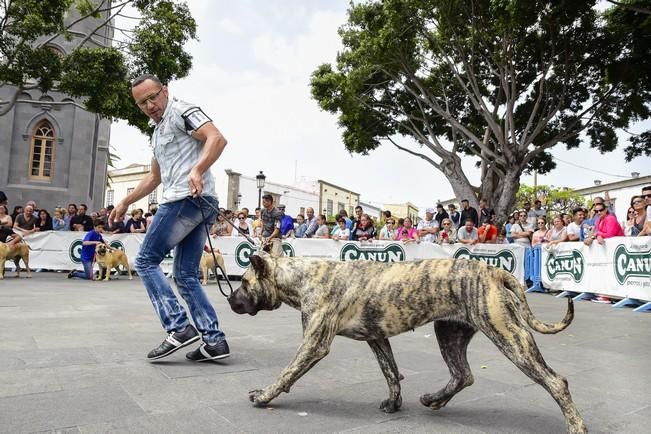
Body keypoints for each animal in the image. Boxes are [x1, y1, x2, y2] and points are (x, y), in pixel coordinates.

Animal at [230, 253, 592, 434]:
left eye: (244, 283)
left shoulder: (313, 344)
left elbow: (286, 373)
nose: (231, 300)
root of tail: (494, 272)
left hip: (509, 337)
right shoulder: (377, 338)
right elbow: (391, 373)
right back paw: (434, 399)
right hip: (450, 333)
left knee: (555, 381)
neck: (302, 277)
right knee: (463, 374)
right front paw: (394, 403)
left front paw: (264, 396)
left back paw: (576, 425)